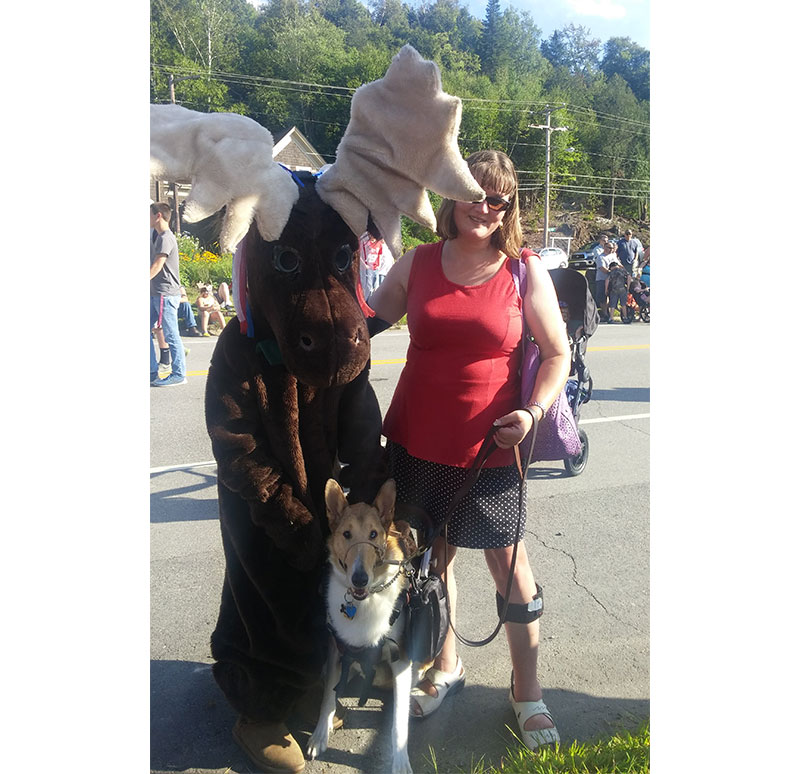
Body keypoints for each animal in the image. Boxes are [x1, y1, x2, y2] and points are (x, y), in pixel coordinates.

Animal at [306, 478, 418, 774]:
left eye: (373, 534)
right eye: (346, 534)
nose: (359, 579)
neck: (366, 601)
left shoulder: (401, 659)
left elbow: (398, 722)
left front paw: (400, 759)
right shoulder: (337, 649)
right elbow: (327, 697)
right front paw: (319, 735)